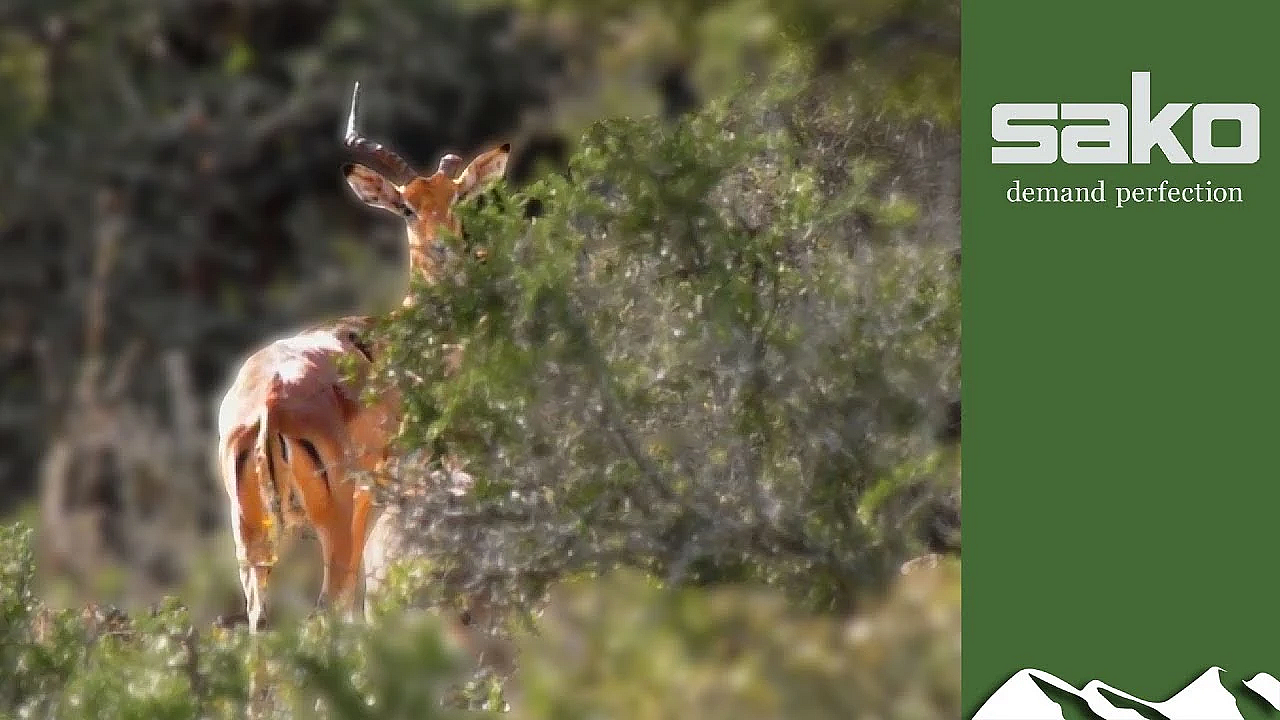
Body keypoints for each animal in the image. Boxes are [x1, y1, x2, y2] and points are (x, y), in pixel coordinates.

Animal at [216, 82, 509, 632]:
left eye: (457, 198)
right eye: (407, 208)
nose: (447, 250)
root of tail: (267, 407)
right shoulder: (380, 481)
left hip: (251, 534)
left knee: (261, 622)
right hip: (332, 520)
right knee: (328, 605)